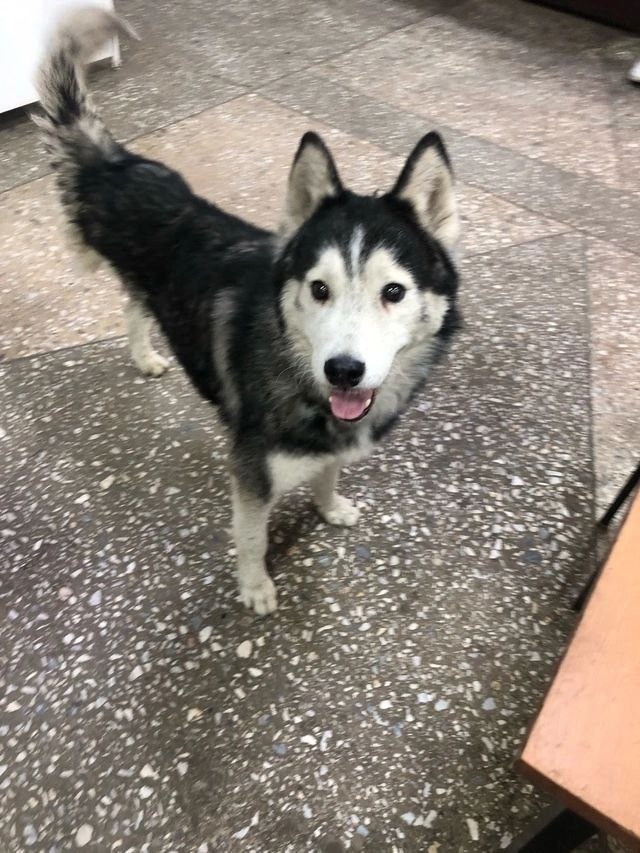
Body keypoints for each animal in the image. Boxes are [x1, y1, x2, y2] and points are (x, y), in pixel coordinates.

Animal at [34, 8, 461, 614]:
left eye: (394, 292)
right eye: (319, 288)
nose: (343, 370)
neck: (295, 365)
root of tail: (114, 162)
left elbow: (327, 474)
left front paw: (329, 507)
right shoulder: (251, 471)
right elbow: (253, 535)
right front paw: (255, 587)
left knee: (134, 307)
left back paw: (145, 356)